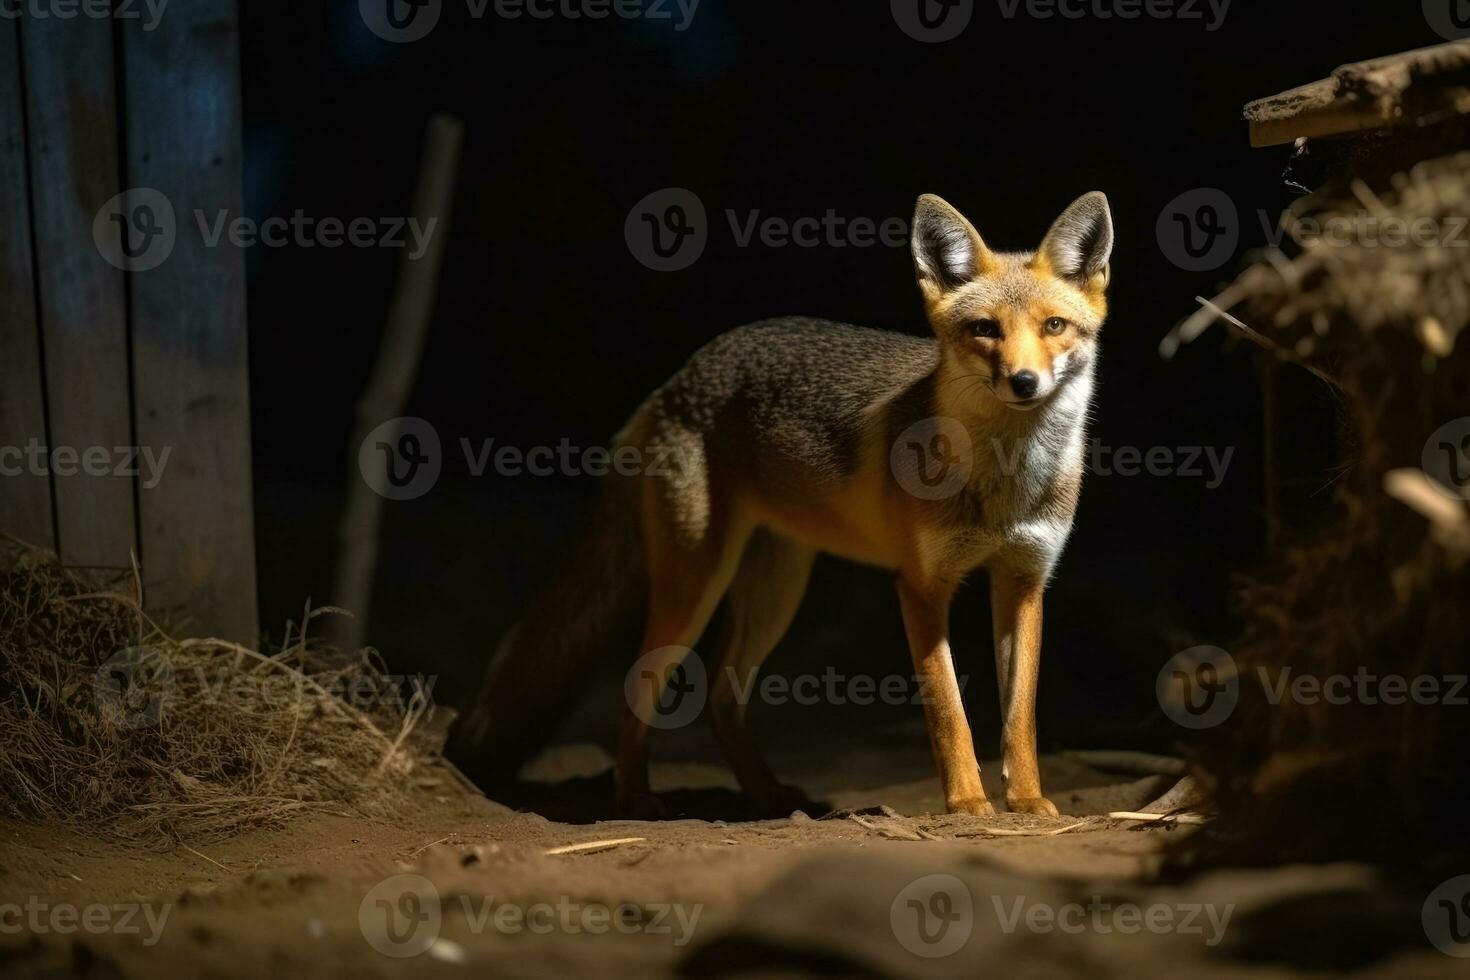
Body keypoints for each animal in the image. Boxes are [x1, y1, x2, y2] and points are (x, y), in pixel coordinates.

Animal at [446, 191, 1111, 822]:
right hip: (696, 585)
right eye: (984, 330)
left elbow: (1019, 717)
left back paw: (764, 794)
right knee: (639, 687)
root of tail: (677, 378)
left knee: (721, 695)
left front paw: (1027, 802)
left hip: (776, 590)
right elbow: (950, 713)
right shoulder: (922, 587)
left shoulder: (1024, 581)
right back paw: (635, 798)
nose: (1024, 382)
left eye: (1054, 325)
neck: (1006, 483)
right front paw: (969, 804)